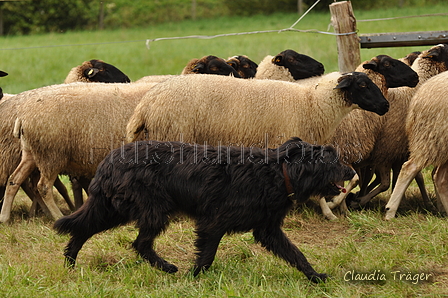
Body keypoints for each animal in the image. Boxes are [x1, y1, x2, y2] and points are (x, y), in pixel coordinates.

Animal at [0, 80, 159, 222]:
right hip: (51, 155)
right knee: (43, 186)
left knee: (14, 180)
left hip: (31, 153)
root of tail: (23, 117)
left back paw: (5, 218)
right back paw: (57, 216)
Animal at [53, 137, 354, 282]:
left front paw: (315, 277)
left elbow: (296, 254)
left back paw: (70, 264)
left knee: (82, 230)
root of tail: (109, 161)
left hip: (112, 210)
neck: (278, 173)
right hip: (152, 211)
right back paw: (167, 268)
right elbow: (207, 256)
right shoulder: (213, 224)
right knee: (140, 244)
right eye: (334, 160)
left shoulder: (268, 230)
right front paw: (194, 277)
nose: (352, 172)